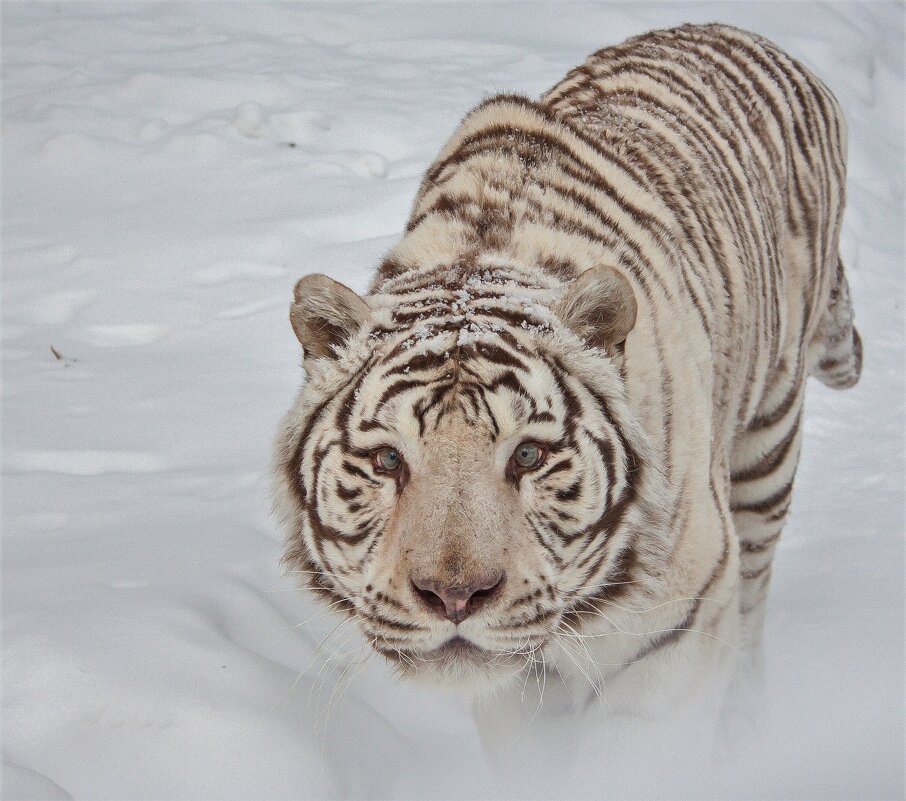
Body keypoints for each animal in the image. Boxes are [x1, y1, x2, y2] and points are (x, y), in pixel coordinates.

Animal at [272, 25, 860, 716]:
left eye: (528, 456)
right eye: (389, 460)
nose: (455, 596)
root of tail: (741, 32)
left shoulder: (681, 632)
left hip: (768, 447)